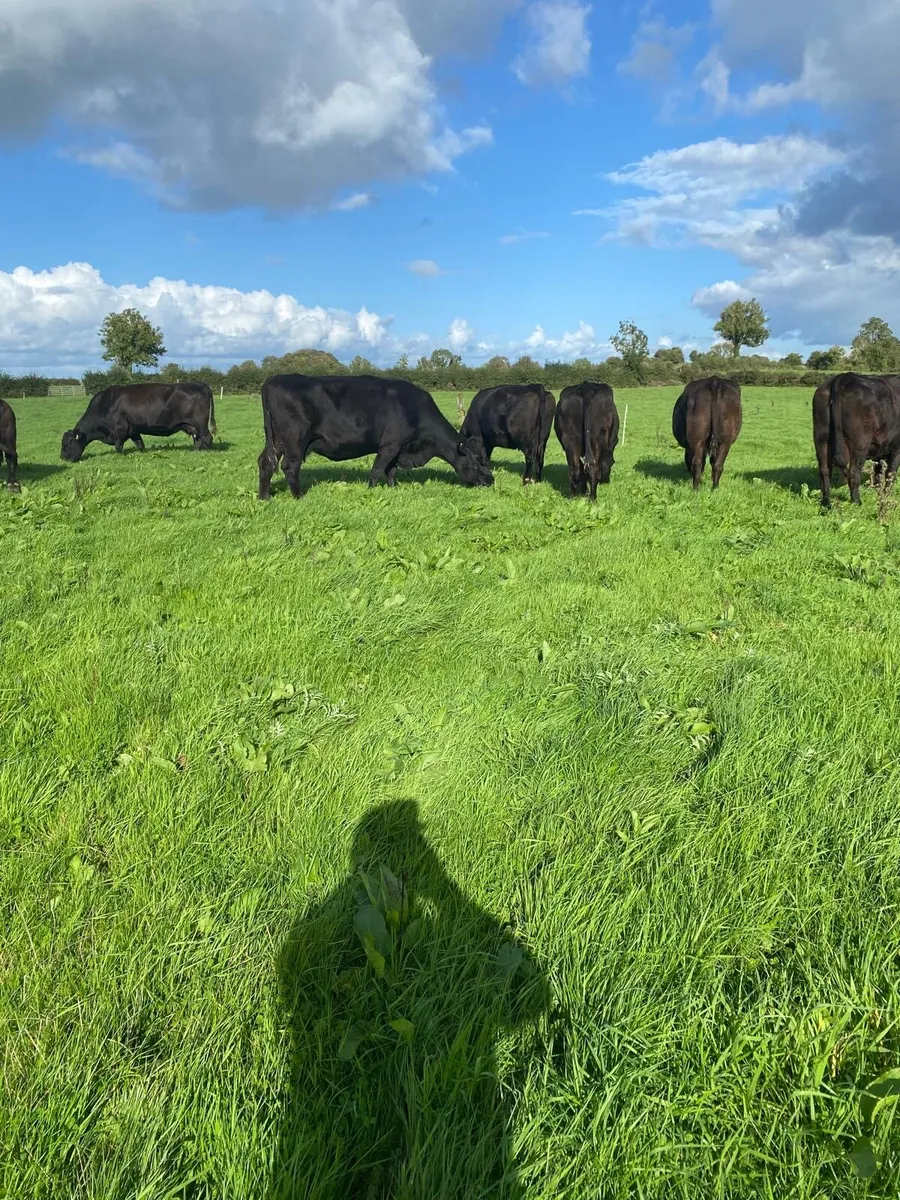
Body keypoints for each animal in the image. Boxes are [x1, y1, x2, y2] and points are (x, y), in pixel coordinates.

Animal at [60, 382, 216, 462]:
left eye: (67, 445)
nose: (62, 459)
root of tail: (202, 385)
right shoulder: (133, 430)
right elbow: (140, 444)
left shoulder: (120, 428)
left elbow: (118, 446)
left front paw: (119, 457)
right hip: (192, 426)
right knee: (198, 439)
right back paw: (196, 451)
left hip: (200, 423)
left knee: (207, 437)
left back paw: (207, 452)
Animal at [257, 374, 493, 499]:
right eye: (478, 460)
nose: (491, 480)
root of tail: (275, 378)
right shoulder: (390, 444)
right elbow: (378, 469)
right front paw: (371, 491)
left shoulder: (399, 448)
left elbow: (391, 470)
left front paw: (393, 489)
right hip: (295, 439)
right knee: (290, 466)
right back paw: (299, 497)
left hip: (276, 440)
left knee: (265, 463)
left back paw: (264, 498)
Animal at [814, 373, 900, 506]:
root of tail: (845, 377)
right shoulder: (897, 449)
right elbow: (890, 474)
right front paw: (886, 496)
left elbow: (878, 473)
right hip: (860, 444)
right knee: (853, 473)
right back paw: (856, 501)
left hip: (821, 437)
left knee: (824, 471)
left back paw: (826, 502)